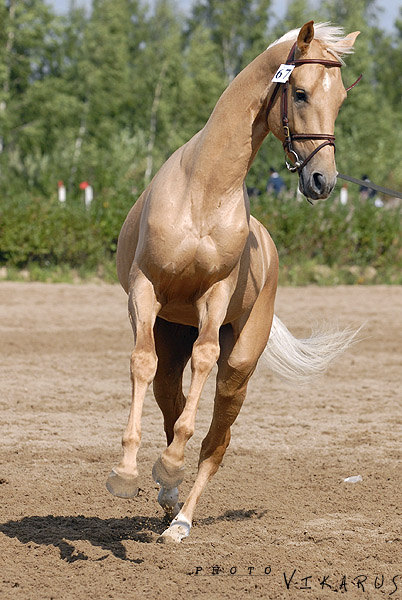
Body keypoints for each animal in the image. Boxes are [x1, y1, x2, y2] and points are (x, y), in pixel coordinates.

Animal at [105, 21, 360, 540]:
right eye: (300, 93)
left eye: (341, 98)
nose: (323, 181)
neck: (203, 189)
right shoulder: (144, 290)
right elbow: (141, 364)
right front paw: (125, 473)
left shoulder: (215, 296)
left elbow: (204, 362)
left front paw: (168, 466)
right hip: (172, 337)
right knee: (170, 395)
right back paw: (168, 494)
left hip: (240, 364)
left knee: (216, 438)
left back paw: (181, 517)